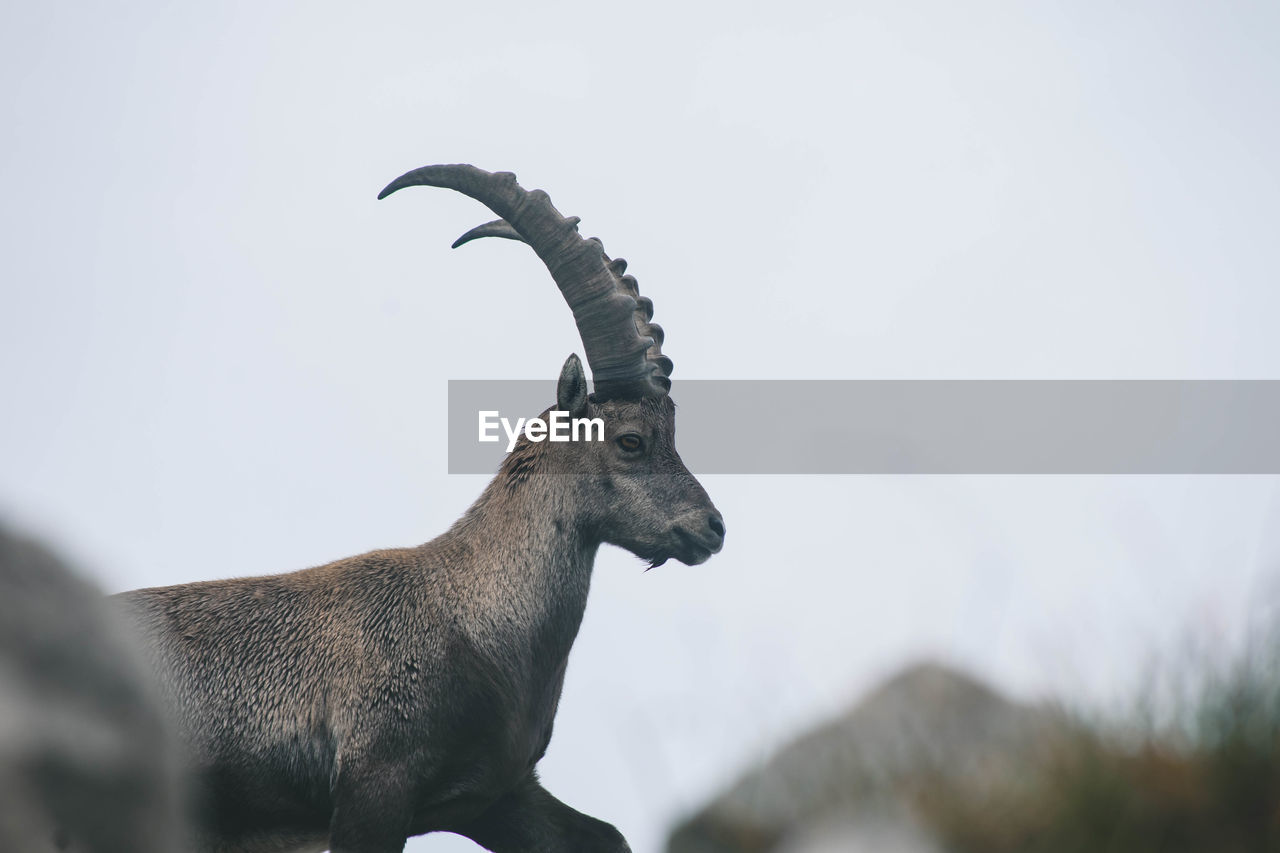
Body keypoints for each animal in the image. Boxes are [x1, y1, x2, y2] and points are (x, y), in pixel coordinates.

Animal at [115, 163, 727, 850]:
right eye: (630, 440)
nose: (712, 527)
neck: (477, 615)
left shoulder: (497, 796)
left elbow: (605, 836)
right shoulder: (375, 788)